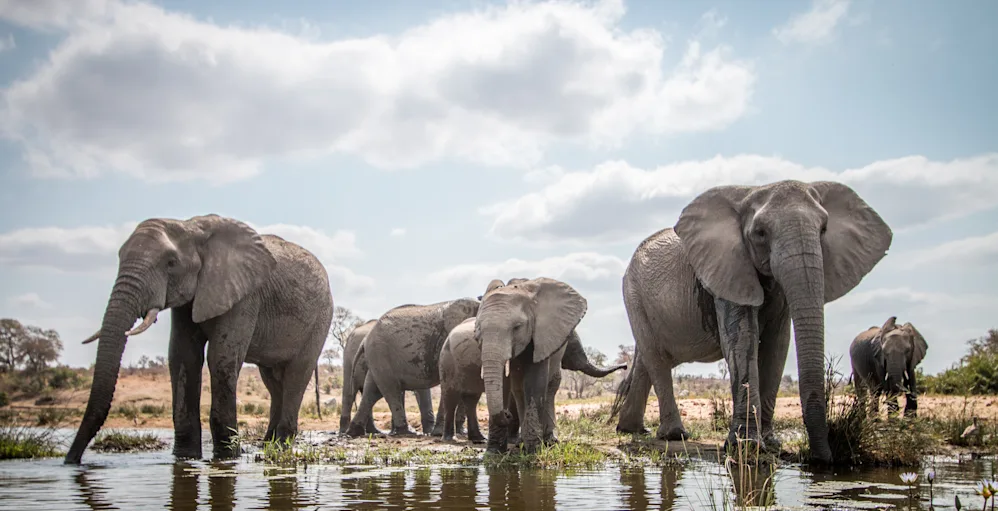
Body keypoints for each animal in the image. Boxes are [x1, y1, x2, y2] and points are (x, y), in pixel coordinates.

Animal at [64, 214, 334, 464]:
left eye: (171, 263)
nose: (71, 460)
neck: (190, 227)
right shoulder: (186, 301)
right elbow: (183, 356)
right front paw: (186, 457)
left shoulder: (245, 296)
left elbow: (221, 357)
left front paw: (227, 458)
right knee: (272, 380)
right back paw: (268, 445)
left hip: (320, 320)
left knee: (296, 375)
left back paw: (279, 447)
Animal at [345, 297, 481, 437]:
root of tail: (366, 339)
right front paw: (438, 434)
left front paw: (460, 433)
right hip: (380, 353)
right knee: (391, 390)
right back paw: (405, 432)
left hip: (377, 358)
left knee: (372, 391)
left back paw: (353, 432)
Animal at [435, 312, 627, 443]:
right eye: (572, 347)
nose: (625, 366)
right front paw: (515, 439)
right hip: (447, 361)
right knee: (451, 396)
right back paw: (449, 439)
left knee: (471, 399)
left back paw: (478, 439)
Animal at [475, 276, 592, 454]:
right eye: (479, 330)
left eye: (517, 327)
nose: (507, 414)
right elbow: (505, 383)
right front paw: (494, 453)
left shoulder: (542, 336)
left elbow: (534, 382)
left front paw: (533, 451)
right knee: (518, 389)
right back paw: (522, 443)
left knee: (550, 387)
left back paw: (549, 441)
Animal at [608, 180, 892, 464]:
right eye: (760, 233)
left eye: (824, 229)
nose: (821, 458)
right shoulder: (727, 268)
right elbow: (742, 339)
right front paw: (746, 447)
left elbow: (777, 345)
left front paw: (771, 444)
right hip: (633, 295)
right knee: (656, 359)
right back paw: (674, 435)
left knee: (647, 360)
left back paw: (633, 429)